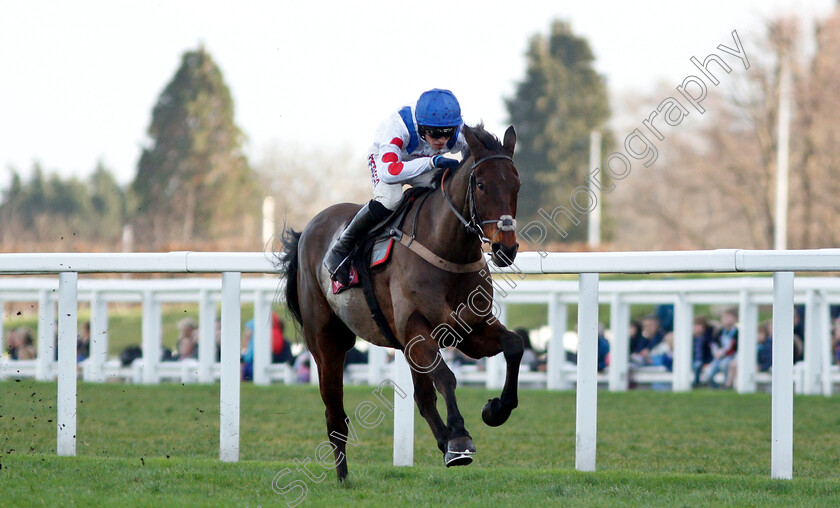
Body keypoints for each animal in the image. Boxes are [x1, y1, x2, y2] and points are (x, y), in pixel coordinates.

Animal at [278, 123, 520, 480]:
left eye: (517, 184)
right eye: (481, 184)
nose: (506, 248)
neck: (447, 251)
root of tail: (308, 229)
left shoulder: (470, 330)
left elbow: (514, 345)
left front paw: (495, 410)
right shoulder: (417, 330)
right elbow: (446, 377)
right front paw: (460, 439)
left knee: (423, 398)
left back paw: (441, 440)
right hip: (327, 342)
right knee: (334, 413)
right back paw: (343, 476)